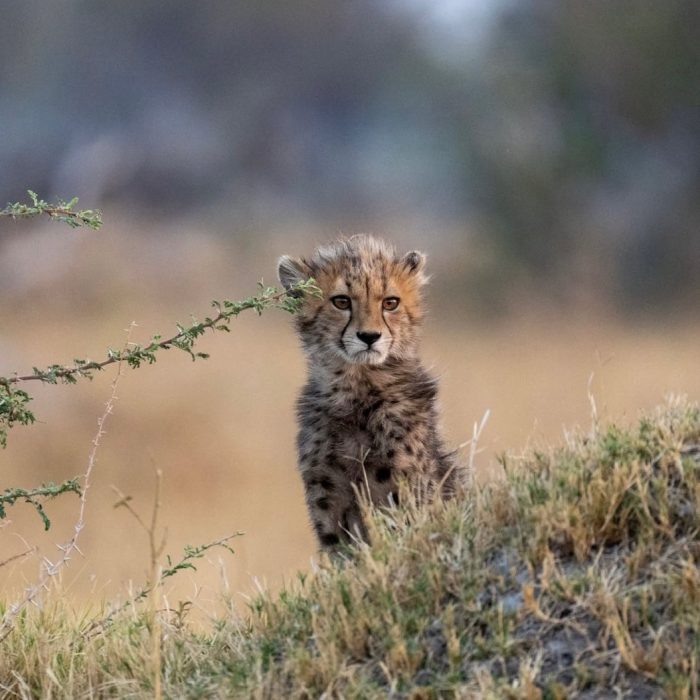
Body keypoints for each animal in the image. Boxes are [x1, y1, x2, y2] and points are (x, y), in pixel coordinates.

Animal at [278, 234, 459, 550]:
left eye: (390, 303)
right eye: (341, 301)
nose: (369, 336)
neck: (357, 390)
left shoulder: (408, 493)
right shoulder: (327, 495)